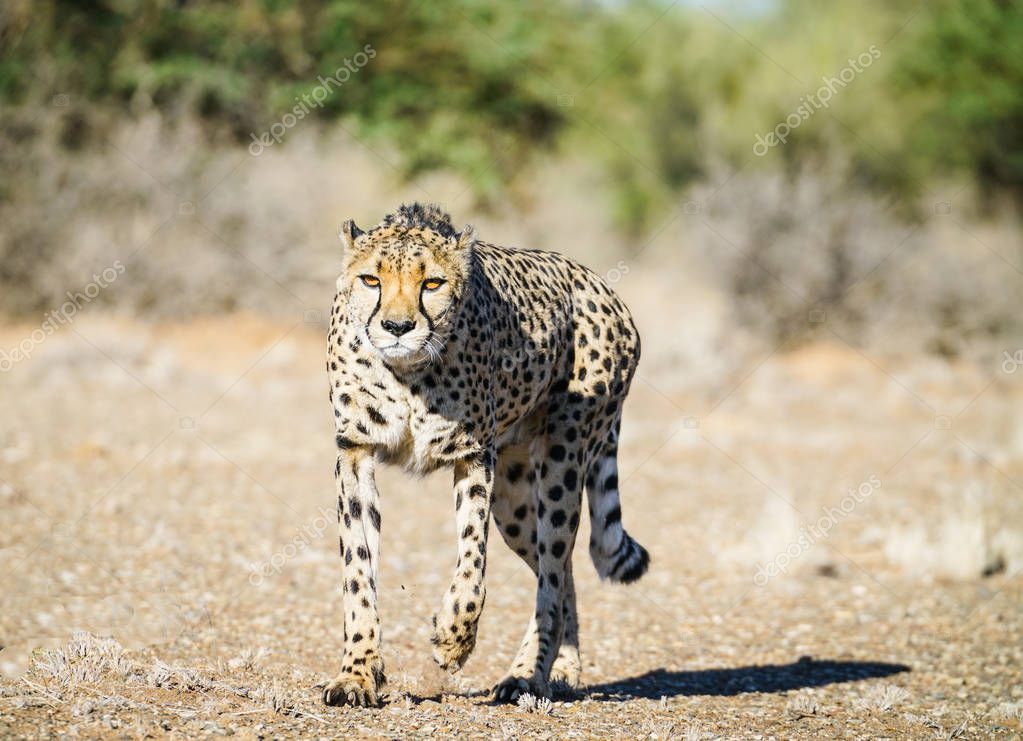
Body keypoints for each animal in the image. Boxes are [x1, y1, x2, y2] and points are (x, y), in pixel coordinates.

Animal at [323, 201, 650, 708]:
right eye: (371, 280)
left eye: (432, 283)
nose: (397, 327)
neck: (407, 374)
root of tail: (603, 288)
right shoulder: (356, 451)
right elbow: (358, 570)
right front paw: (358, 673)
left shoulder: (473, 454)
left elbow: (472, 561)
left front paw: (454, 638)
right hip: (515, 501)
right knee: (563, 571)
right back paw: (563, 669)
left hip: (562, 458)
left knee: (554, 572)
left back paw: (528, 675)